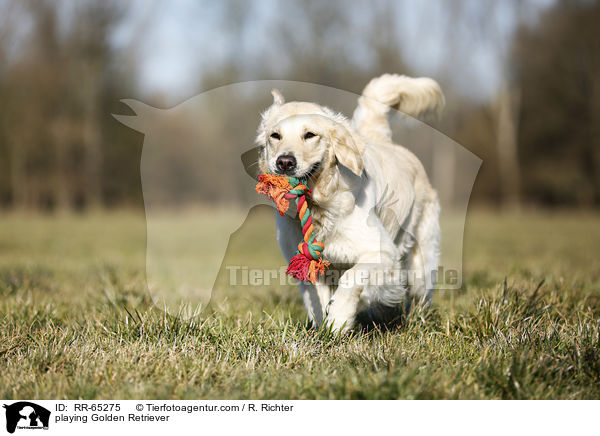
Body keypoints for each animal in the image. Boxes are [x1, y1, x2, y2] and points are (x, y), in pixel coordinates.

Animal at [255, 75, 442, 332]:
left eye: (310, 135)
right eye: (275, 136)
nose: (284, 162)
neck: (320, 206)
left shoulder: (382, 252)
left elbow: (352, 279)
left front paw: (339, 319)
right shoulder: (313, 266)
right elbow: (317, 298)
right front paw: (323, 327)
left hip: (420, 260)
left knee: (420, 294)